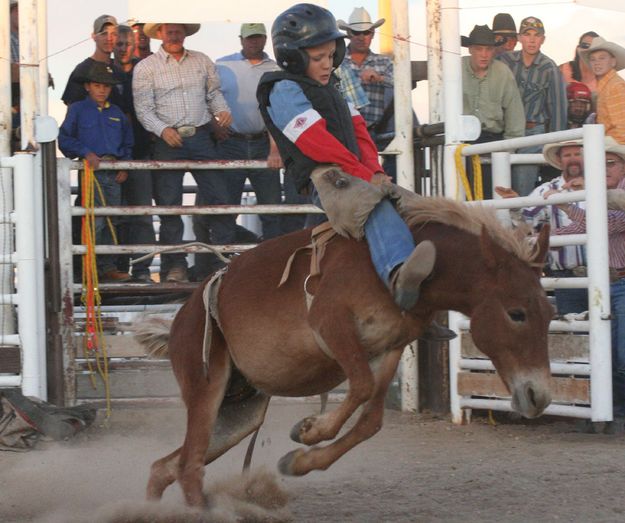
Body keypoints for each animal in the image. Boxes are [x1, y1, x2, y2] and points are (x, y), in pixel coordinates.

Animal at [136, 194, 552, 506]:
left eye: (549, 313)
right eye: (516, 313)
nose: (539, 396)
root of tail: (179, 320)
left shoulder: (389, 347)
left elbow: (371, 419)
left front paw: (299, 460)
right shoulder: (329, 322)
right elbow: (361, 387)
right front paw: (310, 430)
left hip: (239, 415)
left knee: (165, 466)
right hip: (205, 385)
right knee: (188, 467)